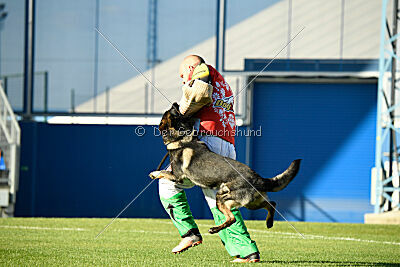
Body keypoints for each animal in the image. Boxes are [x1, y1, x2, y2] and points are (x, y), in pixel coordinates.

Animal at [152, 103, 302, 234]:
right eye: (177, 112)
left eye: (171, 112)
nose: (176, 103)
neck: (182, 136)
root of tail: (257, 178)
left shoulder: (176, 176)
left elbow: (162, 172)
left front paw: (154, 173)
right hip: (252, 203)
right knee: (272, 204)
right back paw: (269, 223)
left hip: (223, 197)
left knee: (232, 218)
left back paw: (214, 229)